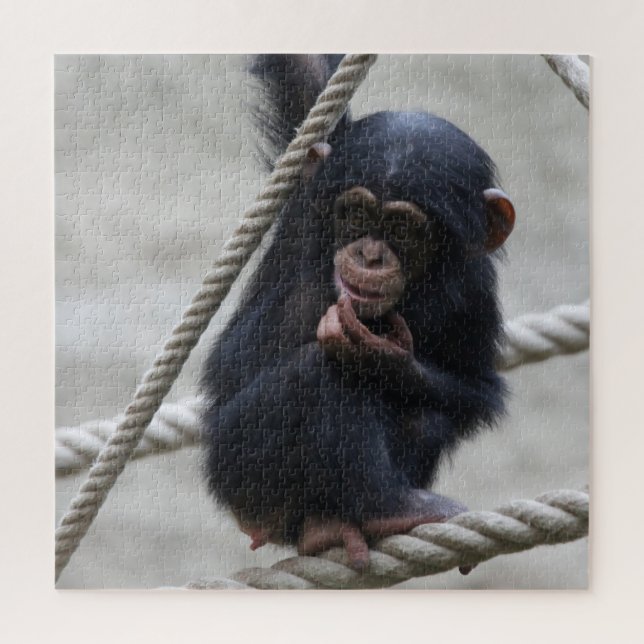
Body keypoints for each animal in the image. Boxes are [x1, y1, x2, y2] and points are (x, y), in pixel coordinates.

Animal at [201, 55, 515, 571]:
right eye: (356, 215)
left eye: (403, 228)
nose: (370, 255)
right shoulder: (309, 200)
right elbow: (305, 80)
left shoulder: (475, 287)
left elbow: (475, 388)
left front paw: (386, 358)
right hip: (235, 469)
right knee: (320, 371)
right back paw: (387, 508)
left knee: (422, 412)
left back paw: (339, 523)